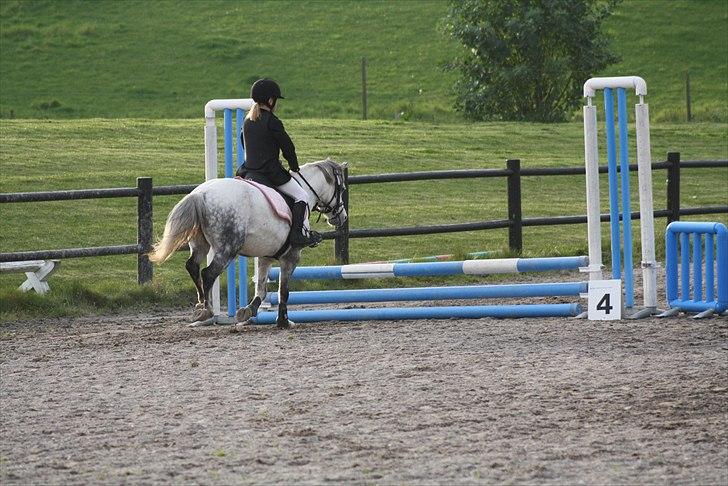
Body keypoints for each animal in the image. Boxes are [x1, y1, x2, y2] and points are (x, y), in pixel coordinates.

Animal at [148, 158, 346, 328]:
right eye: (342, 188)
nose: (342, 217)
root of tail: (200, 195)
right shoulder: (291, 256)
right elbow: (283, 290)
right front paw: (283, 321)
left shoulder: (265, 257)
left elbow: (262, 288)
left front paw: (249, 311)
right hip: (227, 249)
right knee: (208, 273)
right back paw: (207, 310)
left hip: (200, 244)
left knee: (192, 266)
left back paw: (200, 304)